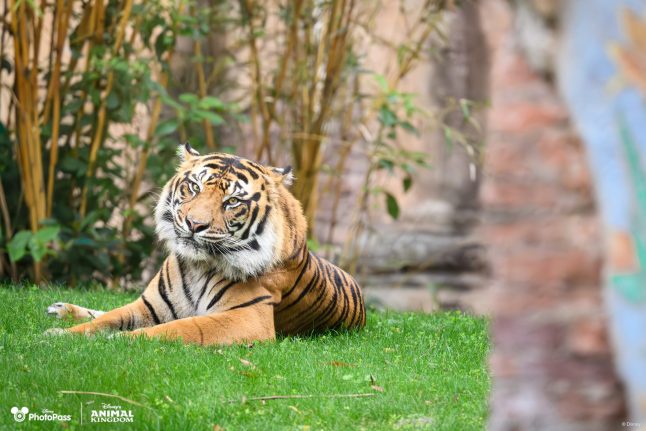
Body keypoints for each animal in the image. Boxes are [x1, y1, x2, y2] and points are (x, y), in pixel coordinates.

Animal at [45, 143, 366, 345]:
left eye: (232, 201)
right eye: (194, 187)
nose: (194, 224)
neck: (197, 266)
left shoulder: (248, 318)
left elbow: (178, 328)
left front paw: (118, 341)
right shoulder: (149, 306)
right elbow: (106, 319)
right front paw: (59, 334)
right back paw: (60, 308)